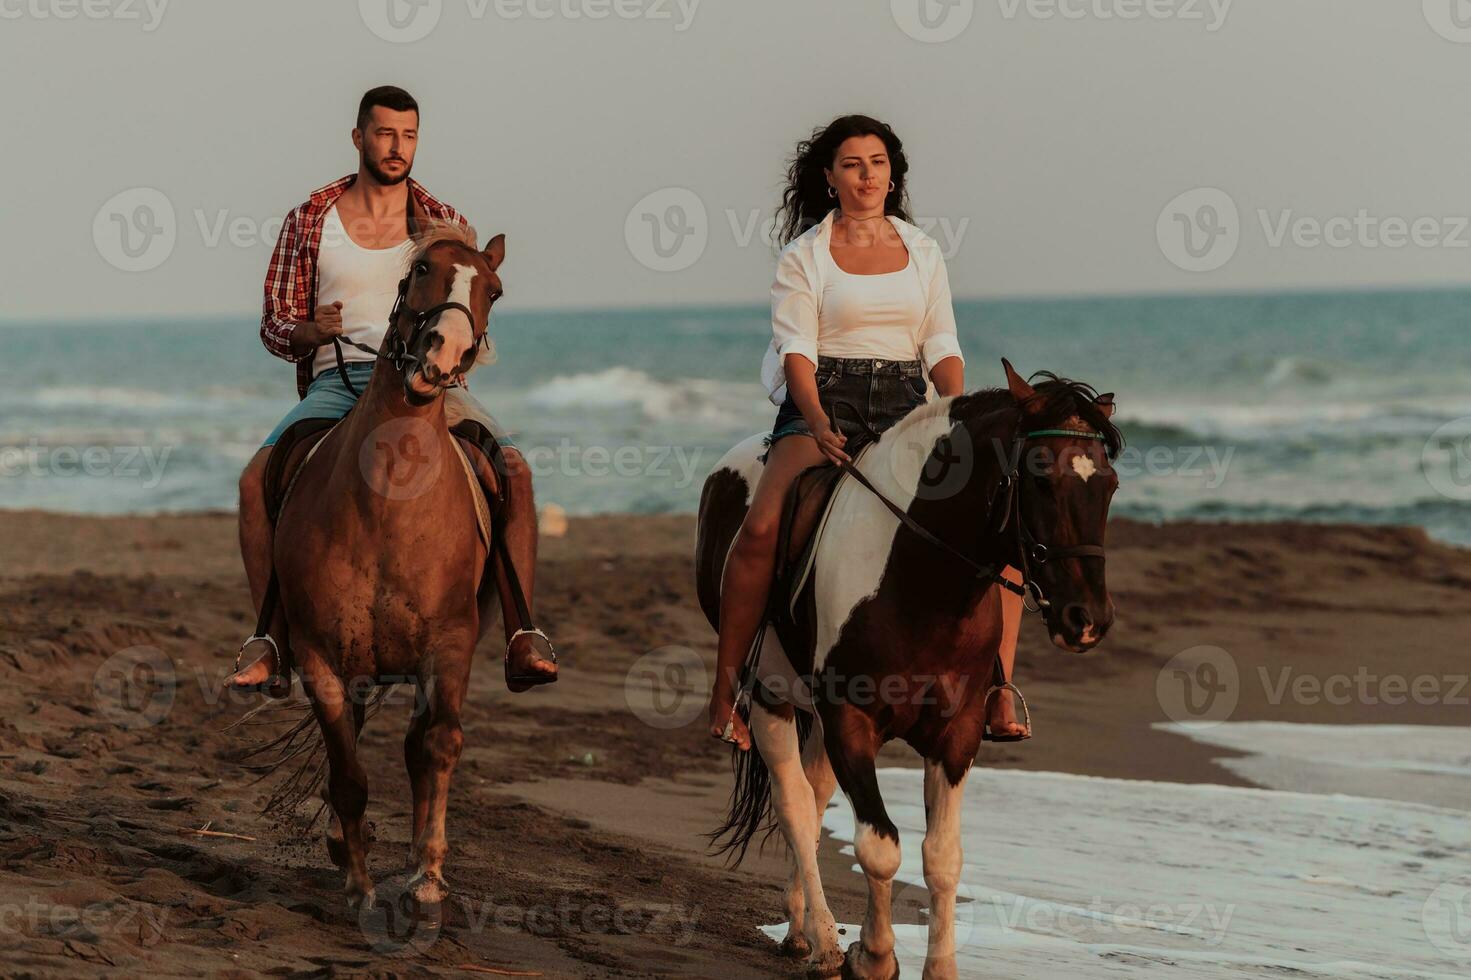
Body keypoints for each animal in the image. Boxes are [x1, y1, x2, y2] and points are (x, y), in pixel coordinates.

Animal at [694, 360, 1117, 977]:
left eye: (1109, 486)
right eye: (1040, 477)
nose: (1087, 620)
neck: (920, 582)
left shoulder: (957, 734)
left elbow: (941, 857)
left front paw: (937, 968)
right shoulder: (851, 721)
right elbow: (879, 845)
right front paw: (870, 956)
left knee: (814, 796)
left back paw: (799, 929)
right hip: (771, 693)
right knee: (796, 805)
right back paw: (823, 943)